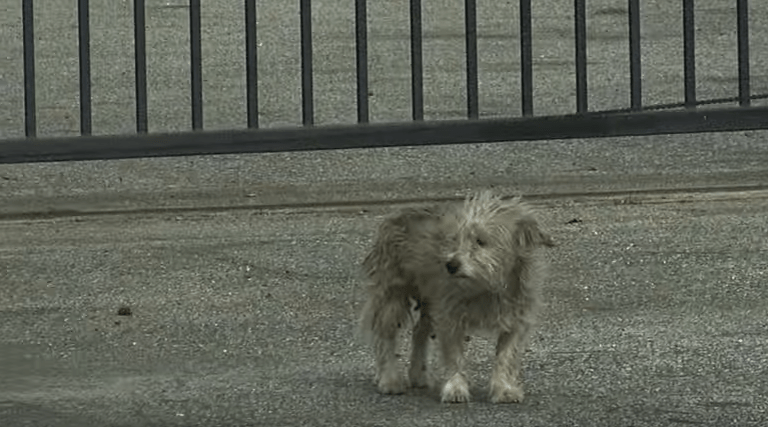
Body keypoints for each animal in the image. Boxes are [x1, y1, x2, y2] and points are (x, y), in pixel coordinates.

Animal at [358, 191, 554, 403]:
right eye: (456, 239)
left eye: (480, 241)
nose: (451, 265)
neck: (487, 286)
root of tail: (398, 213)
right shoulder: (450, 316)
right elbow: (454, 356)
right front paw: (455, 388)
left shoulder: (515, 321)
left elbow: (506, 357)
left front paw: (504, 389)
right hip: (392, 296)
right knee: (385, 335)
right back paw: (389, 378)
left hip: (429, 302)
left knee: (419, 332)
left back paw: (418, 374)